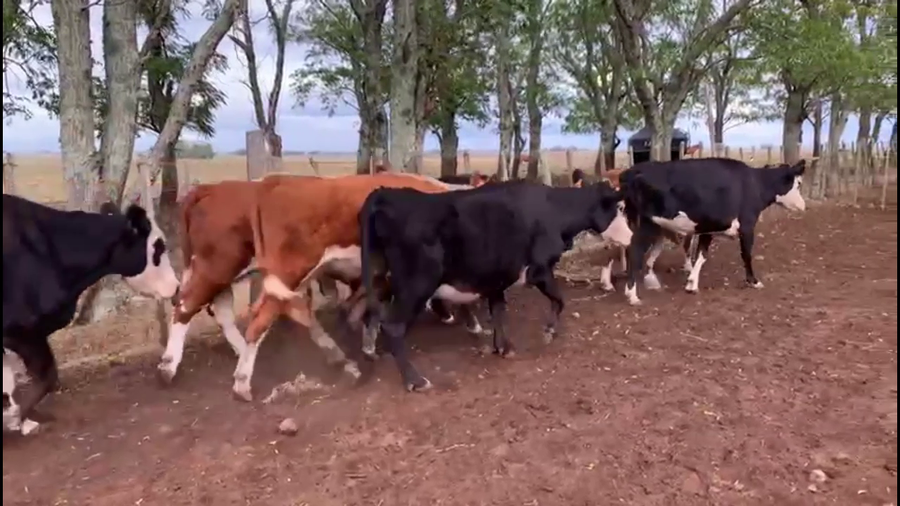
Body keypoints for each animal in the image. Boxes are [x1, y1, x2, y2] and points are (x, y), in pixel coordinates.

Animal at [2, 195, 180, 434]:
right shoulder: (21, 331)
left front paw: (23, 420)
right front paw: (14, 420)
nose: (177, 286)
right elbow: (44, 377)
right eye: (158, 247)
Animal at [157, 174, 486, 390]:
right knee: (193, 306)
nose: (446, 317)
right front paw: (473, 325)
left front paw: (368, 344)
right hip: (231, 266)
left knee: (233, 309)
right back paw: (189, 369)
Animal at [357, 179, 633, 392]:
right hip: (417, 284)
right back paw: (415, 380)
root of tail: (388, 193)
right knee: (393, 327)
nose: (631, 236)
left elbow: (498, 309)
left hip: (382, 278)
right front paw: (549, 331)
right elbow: (559, 299)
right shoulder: (539, 269)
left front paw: (503, 347)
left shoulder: (497, 276)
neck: (554, 210)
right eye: (619, 208)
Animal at [618, 157, 807, 305]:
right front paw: (753, 281)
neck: (755, 184)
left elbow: (701, 255)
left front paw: (692, 284)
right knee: (634, 251)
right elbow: (746, 254)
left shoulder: (707, 228)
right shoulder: (747, 226)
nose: (803, 206)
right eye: (798, 184)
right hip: (647, 223)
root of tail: (633, 170)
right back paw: (632, 295)